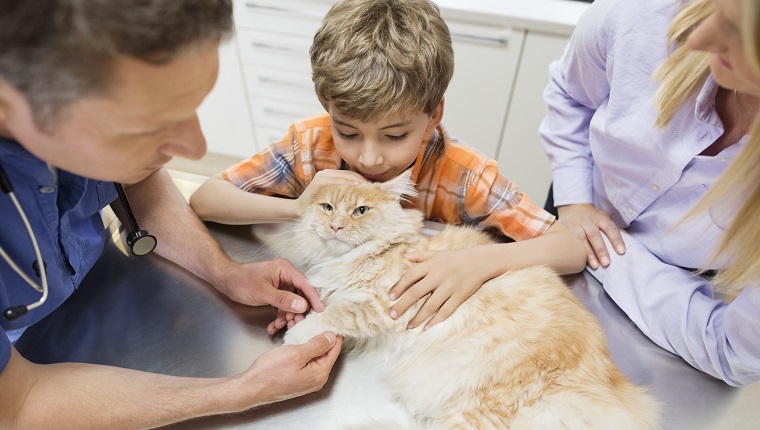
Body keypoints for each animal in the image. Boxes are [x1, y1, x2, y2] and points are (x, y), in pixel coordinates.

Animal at [274, 171, 660, 430]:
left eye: (360, 211)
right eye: (327, 208)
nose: (336, 227)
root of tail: (608, 383)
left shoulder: (386, 304)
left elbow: (336, 315)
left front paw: (295, 334)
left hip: (480, 405)